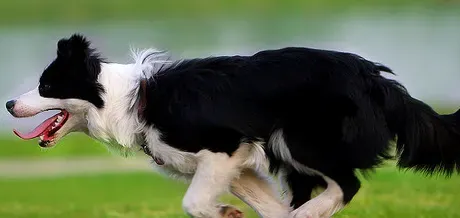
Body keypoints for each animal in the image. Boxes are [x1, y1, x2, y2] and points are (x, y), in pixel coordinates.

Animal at [4, 34, 460, 218]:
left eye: (46, 86)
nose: (8, 103)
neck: (128, 100)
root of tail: (376, 79)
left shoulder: (222, 147)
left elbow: (192, 201)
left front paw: (224, 211)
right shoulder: (236, 165)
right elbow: (266, 205)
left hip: (297, 139)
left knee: (346, 183)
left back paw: (309, 212)